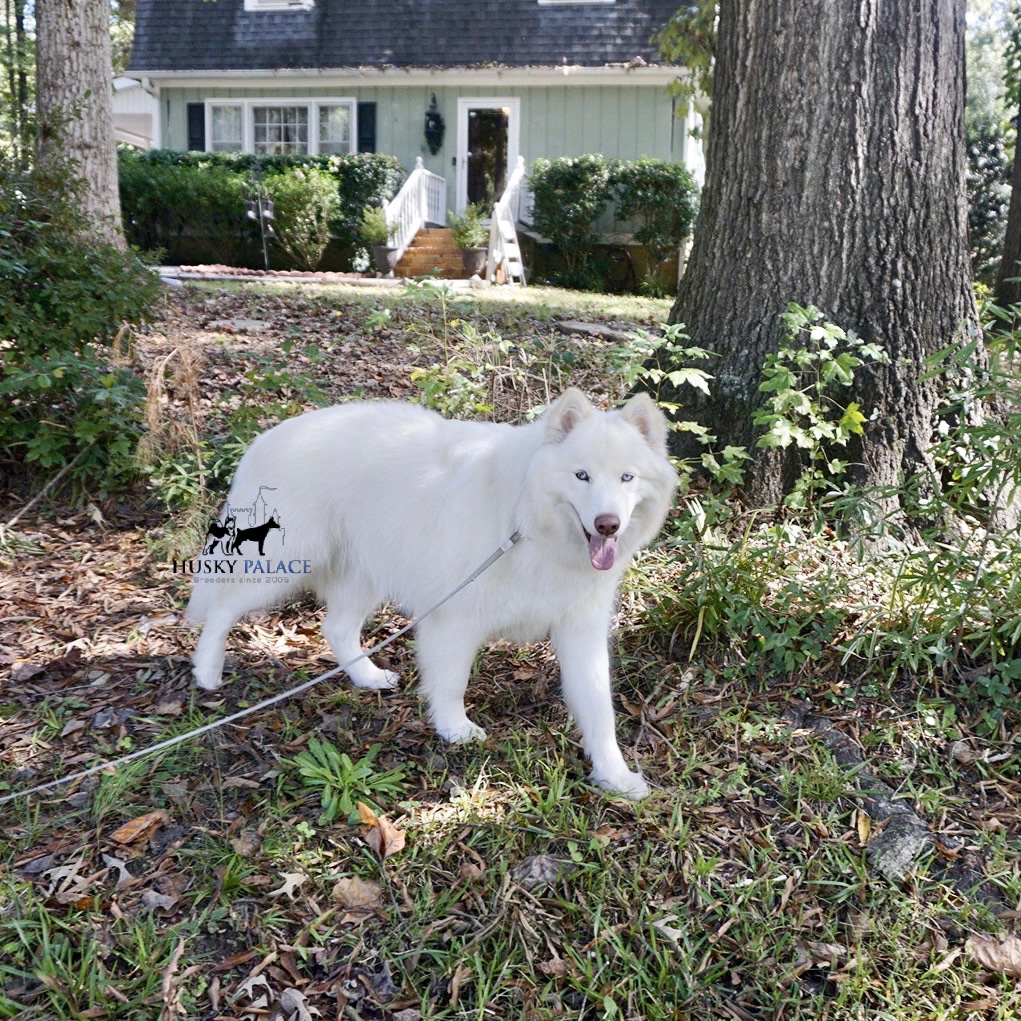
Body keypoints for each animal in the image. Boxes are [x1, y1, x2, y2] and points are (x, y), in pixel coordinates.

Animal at [186, 390, 673, 796]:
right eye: (581, 476)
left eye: (626, 478)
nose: (608, 525)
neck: (530, 524)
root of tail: (268, 437)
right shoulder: (454, 619)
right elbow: (453, 683)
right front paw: (455, 729)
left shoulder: (580, 631)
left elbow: (599, 708)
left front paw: (614, 775)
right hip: (284, 564)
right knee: (223, 608)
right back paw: (207, 671)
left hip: (363, 573)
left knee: (336, 628)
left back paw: (367, 677)